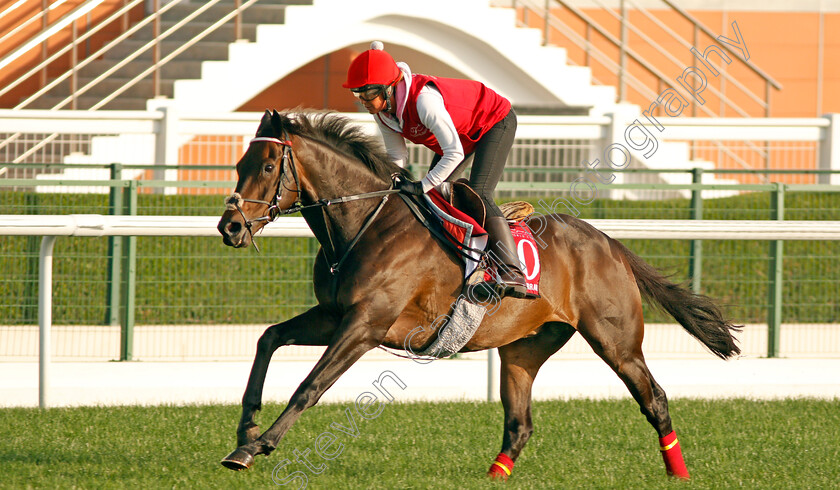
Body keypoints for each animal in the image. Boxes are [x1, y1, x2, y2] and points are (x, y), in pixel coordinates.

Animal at [217, 109, 740, 480]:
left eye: (268, 165)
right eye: (239, 164)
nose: (230, 227)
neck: (367, 223)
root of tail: (609, 243)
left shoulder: (366, 325)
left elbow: (310, 386)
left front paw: (255, 446)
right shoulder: (333, 315)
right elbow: (268, 338)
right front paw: (246, 428)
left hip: (617, 342)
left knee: (655, 398)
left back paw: (679, 473)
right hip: (524, 349)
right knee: (519, 423)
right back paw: (494, 475)